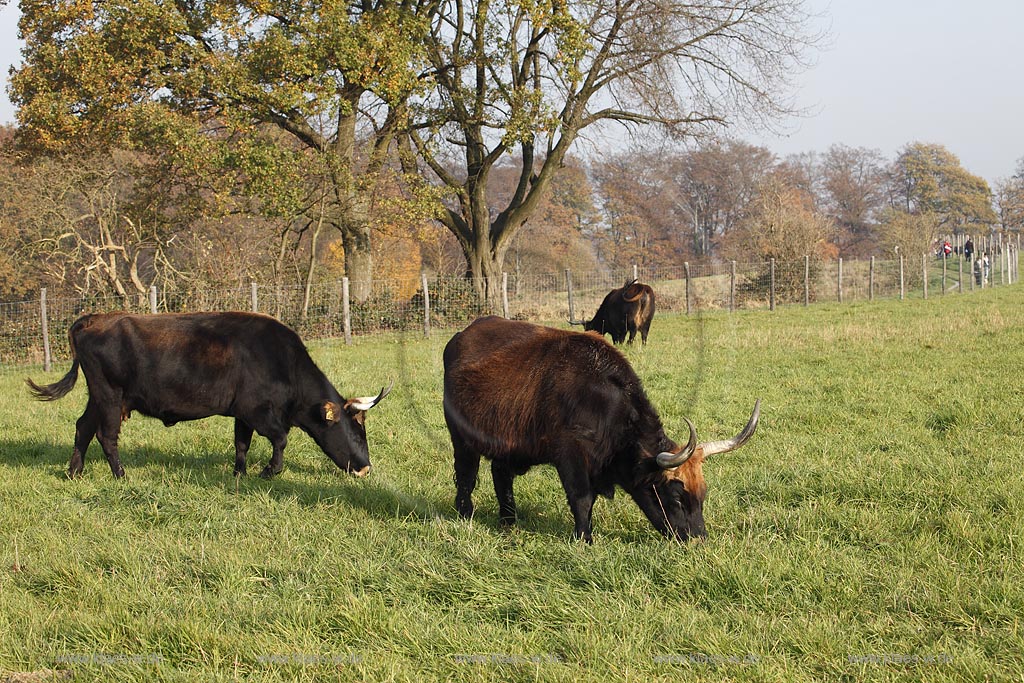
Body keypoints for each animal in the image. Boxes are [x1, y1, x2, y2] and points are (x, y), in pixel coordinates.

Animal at [24, 313, 391, 479]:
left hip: (99, 398)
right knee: (105, 434)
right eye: (356, 430)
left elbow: (242, 443)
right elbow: (281, 439)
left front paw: (239, 473)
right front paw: (269, 471)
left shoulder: (242, 413)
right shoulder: (257, 410)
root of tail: (94, 319)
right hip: (110, 397)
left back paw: (75, 471)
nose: (365, 468)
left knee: (83, 427)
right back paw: (120, 474)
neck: (280, 360)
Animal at [442, 317, 761, 544]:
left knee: (501, 476)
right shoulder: (570, 457)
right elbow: (582, 499)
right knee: (466, 477)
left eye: (702, 495)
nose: (698, 540)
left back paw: (508, 522)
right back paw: (464, 514)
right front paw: (584, 538)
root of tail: (461, 336)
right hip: (461, 440)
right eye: (676, 497)